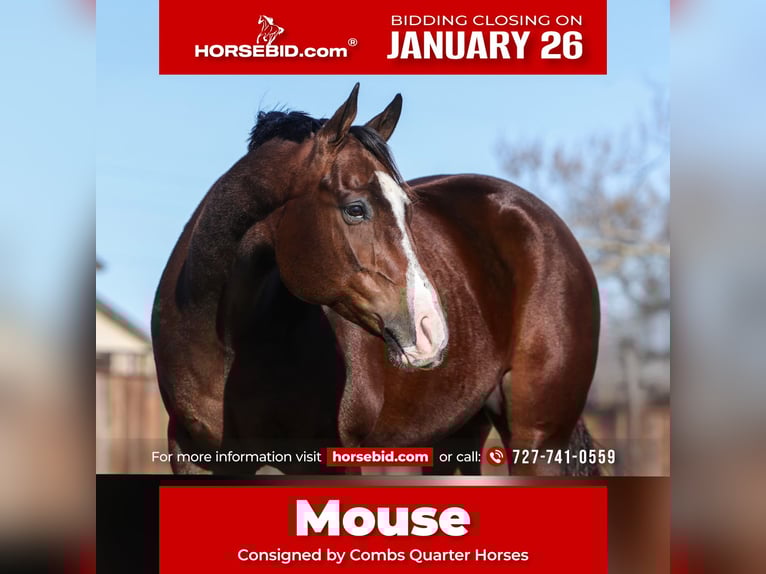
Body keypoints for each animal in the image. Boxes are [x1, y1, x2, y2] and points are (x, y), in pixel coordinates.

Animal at [151, 84, 601, 476]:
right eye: (355, 208)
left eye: (408, 208)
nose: (431, 331)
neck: (227, 340)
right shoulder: (194, 455)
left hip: (537, 439)